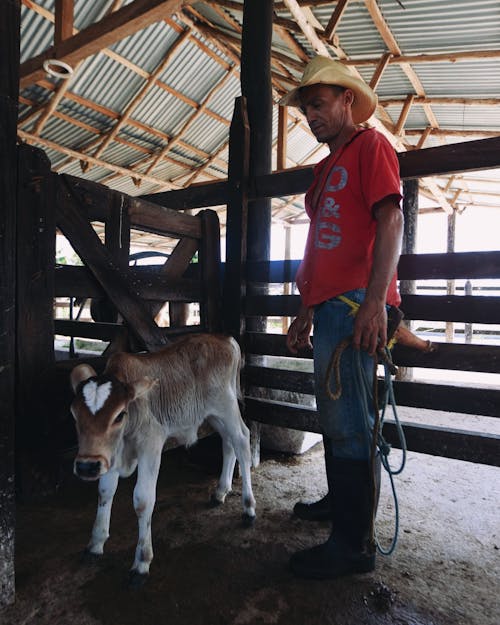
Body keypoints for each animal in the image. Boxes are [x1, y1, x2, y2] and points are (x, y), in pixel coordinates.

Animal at [70, 334, 256, 584]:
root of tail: (225, 339)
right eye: (74, 414)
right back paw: (220, 492)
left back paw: (248, 508)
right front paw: (96, 544)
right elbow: (105, 492)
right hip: (213, 415)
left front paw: (141, 562)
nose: (86, 466)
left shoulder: (151, 444)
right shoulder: (110, 454)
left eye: (119, 415)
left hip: (226, 406)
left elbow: (143, 500)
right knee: (228, 443)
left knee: (242, 441)